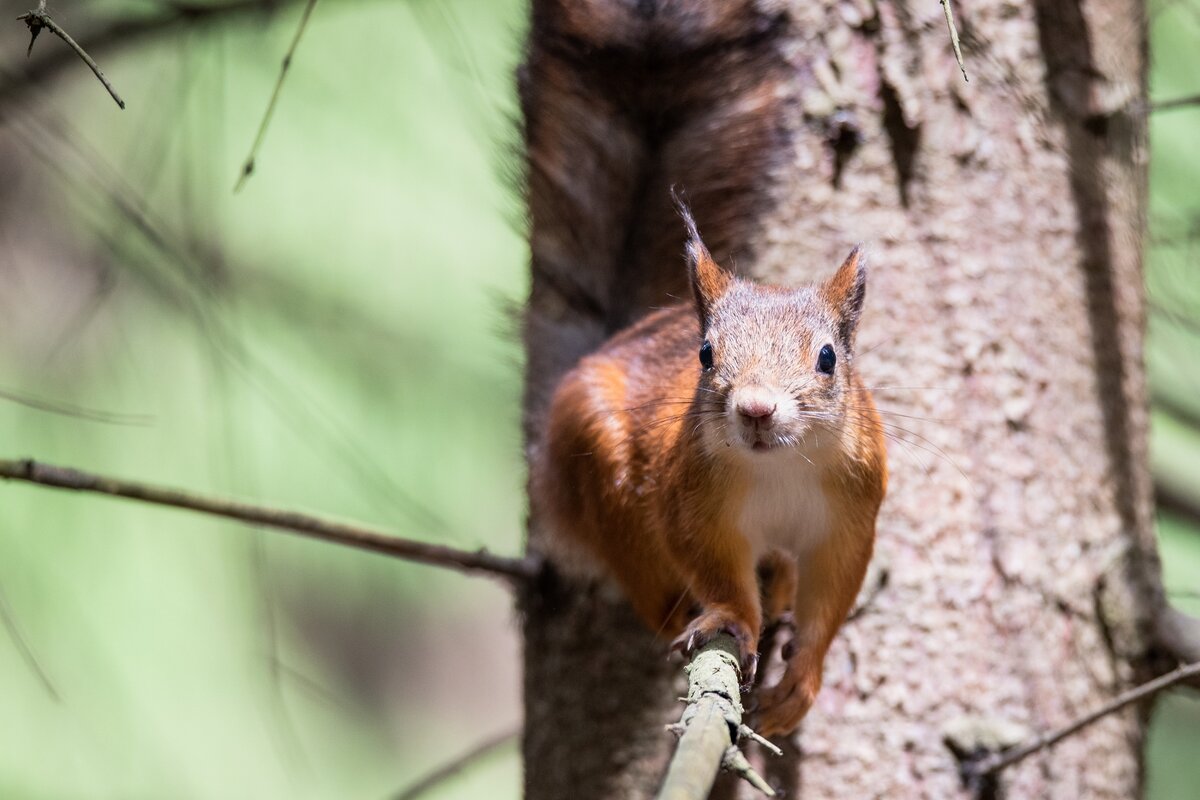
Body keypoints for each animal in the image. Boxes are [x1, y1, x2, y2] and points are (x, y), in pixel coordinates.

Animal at [530, 201, 888, 738]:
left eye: (827, 357)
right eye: (705, 354)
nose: (757, 409)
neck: (779, 466)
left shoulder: (851, 515)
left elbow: (832, 589)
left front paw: (803, 676)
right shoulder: (689, 505)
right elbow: (713, 565)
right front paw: (734, 618)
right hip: (598, 463)